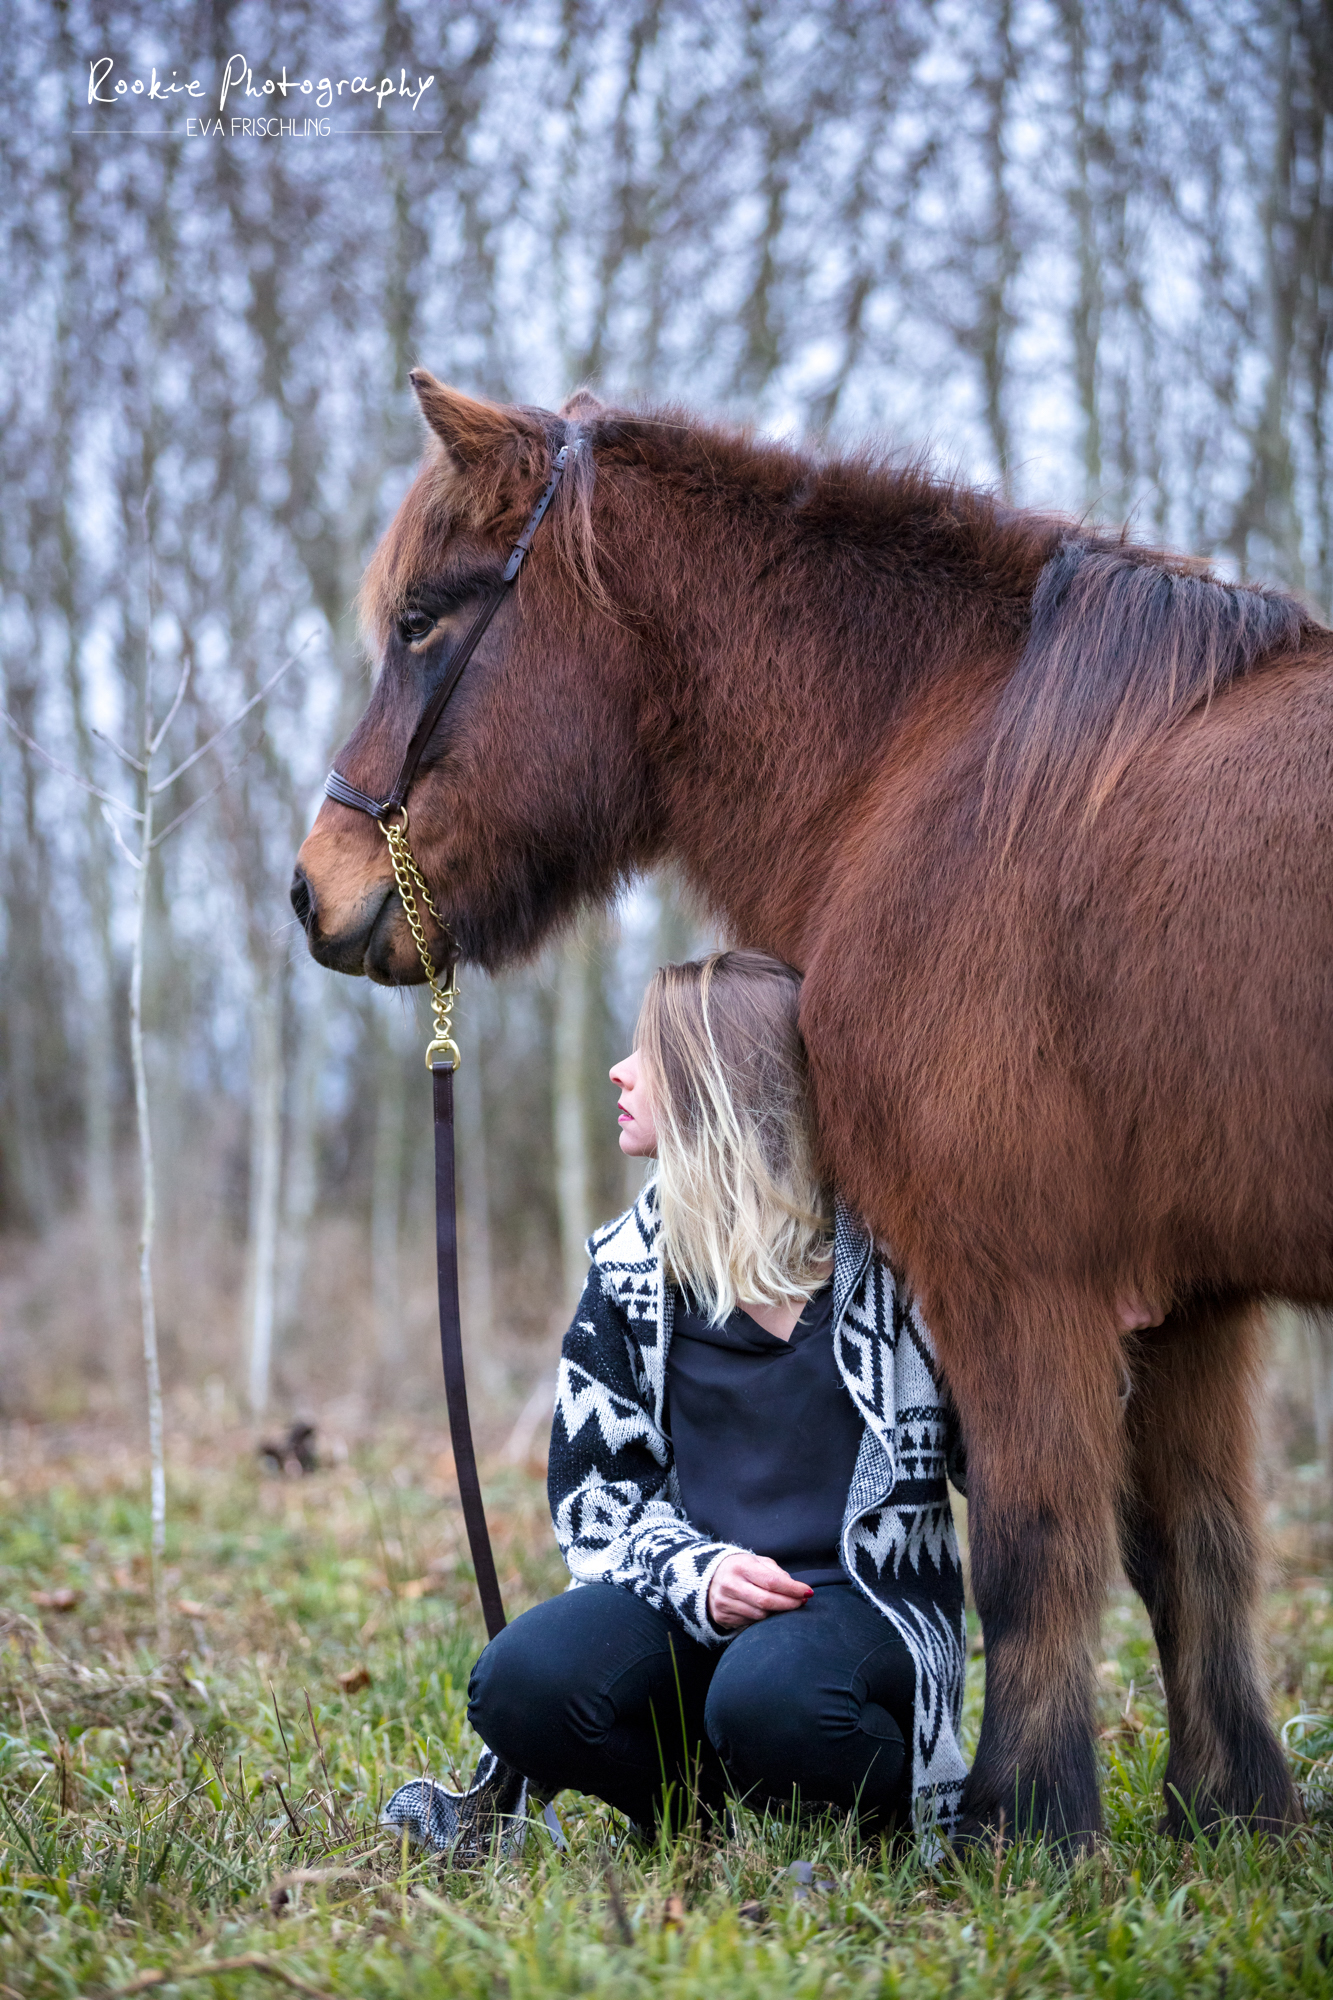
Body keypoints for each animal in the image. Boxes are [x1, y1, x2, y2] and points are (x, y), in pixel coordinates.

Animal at [292, 373, 1333, 1848]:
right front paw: (1229, 1810)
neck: (950, 766)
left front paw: (1022, 1824)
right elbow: (1193, 1552)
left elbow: (1032, 1547)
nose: (314, 890)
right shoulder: (1189, 1304)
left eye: (425, 619)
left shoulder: (1014, 1276)